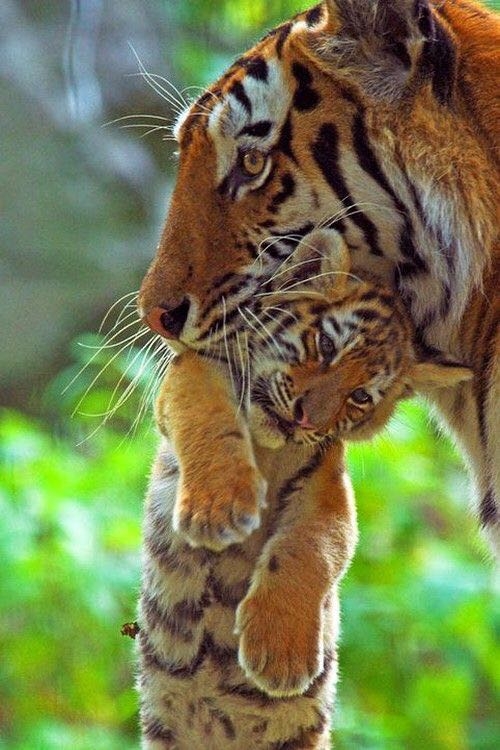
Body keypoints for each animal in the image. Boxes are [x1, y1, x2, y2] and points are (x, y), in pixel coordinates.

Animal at [138, 229, 472, 748]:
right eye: (324, 345)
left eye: (360, 397)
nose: (305, 419)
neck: (270, 449)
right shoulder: (194, 369)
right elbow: (206, 416)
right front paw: (218, 511)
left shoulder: (328, 490)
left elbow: (311, 550)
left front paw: (281, 660)